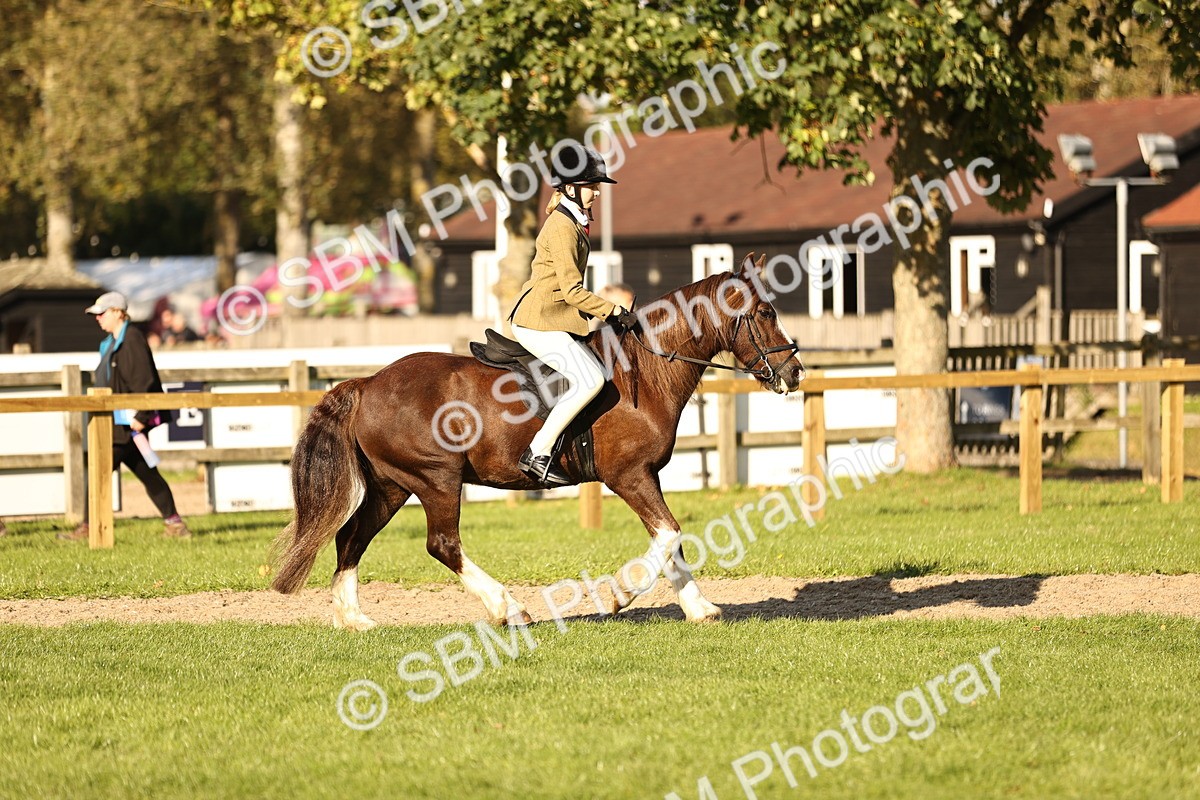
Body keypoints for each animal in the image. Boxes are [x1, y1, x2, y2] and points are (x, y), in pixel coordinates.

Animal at [270, 253, 806, 629]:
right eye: (764, 312)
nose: (795, 371)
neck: (645, 367)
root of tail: (368, 382)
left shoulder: (645, 477)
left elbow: (670, 541)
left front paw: (699, 607)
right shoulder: (629, 476)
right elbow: (671, 535)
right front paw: (621, 594)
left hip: (392, 485)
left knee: (351, 537)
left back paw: (353, 618)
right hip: (436, 480)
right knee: (442, 544)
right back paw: (508, 608)